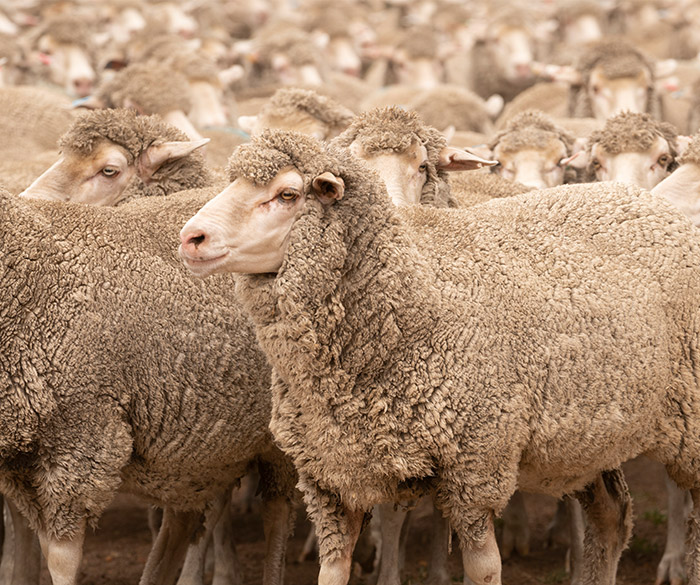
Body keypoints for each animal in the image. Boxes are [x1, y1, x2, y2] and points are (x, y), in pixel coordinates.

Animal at [0, 186, 296, 585]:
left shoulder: (84, 437)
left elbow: (61, 559)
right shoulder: (21, 463)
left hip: (282, 435)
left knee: (278, 514)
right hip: (199, 445)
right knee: (181, 521)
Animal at [180, 128, 700, 585]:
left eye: (288, 194)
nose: (191, 237)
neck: (413, 301)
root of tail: (643, 199)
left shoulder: (476, 467)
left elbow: (484, 570)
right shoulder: (333, 476)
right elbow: (334, 571)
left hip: (686, 422)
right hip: (588, 431)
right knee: (612, 516)